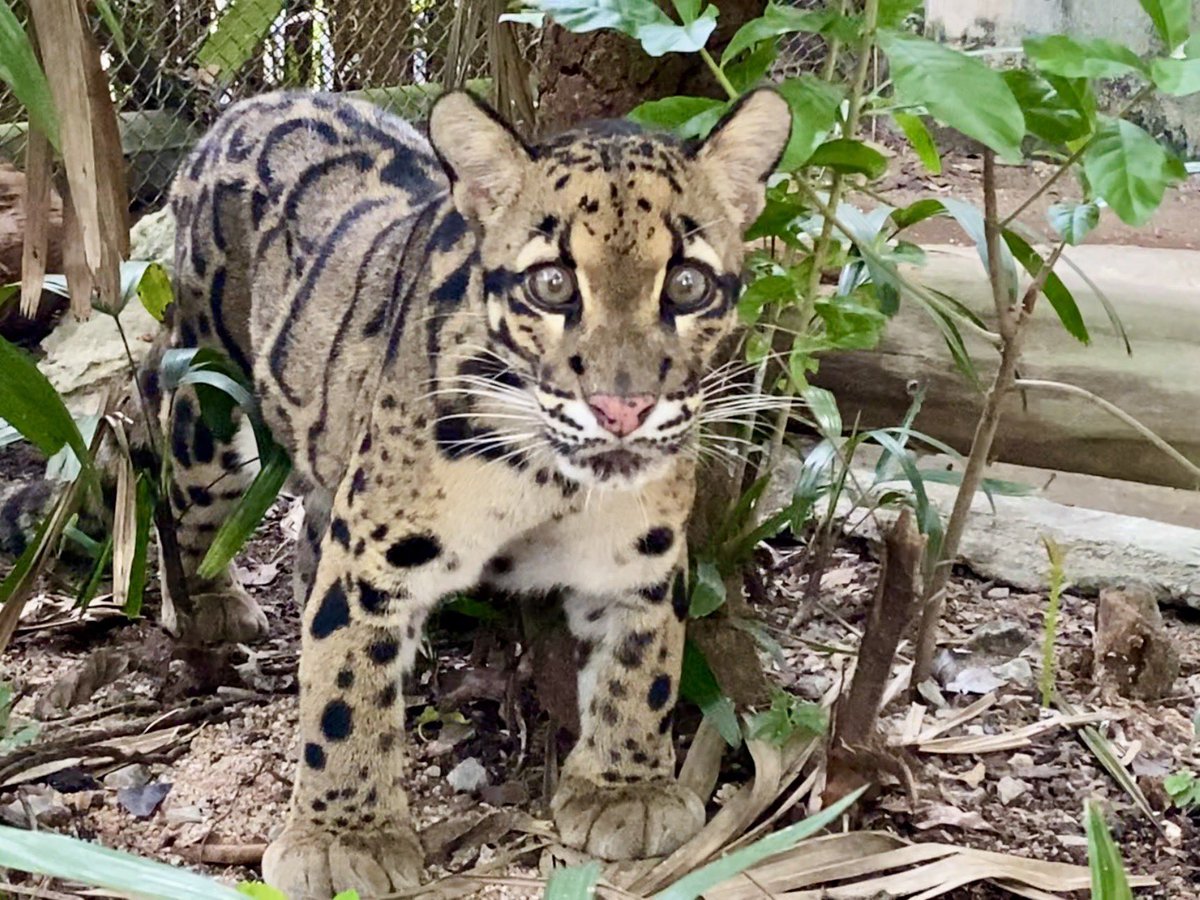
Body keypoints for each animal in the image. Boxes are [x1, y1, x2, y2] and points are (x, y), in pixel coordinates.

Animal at [164, 86, 790, 898]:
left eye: (687, 285)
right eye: (552, 283)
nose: (623, 408)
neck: (553, 476)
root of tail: (258, 100)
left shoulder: (638, 551)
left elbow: (644, 661)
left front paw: (627, 784)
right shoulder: (373, 554)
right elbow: (344, 689)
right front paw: (343, 836)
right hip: (206, 395)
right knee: (178, 472)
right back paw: (205, 602)